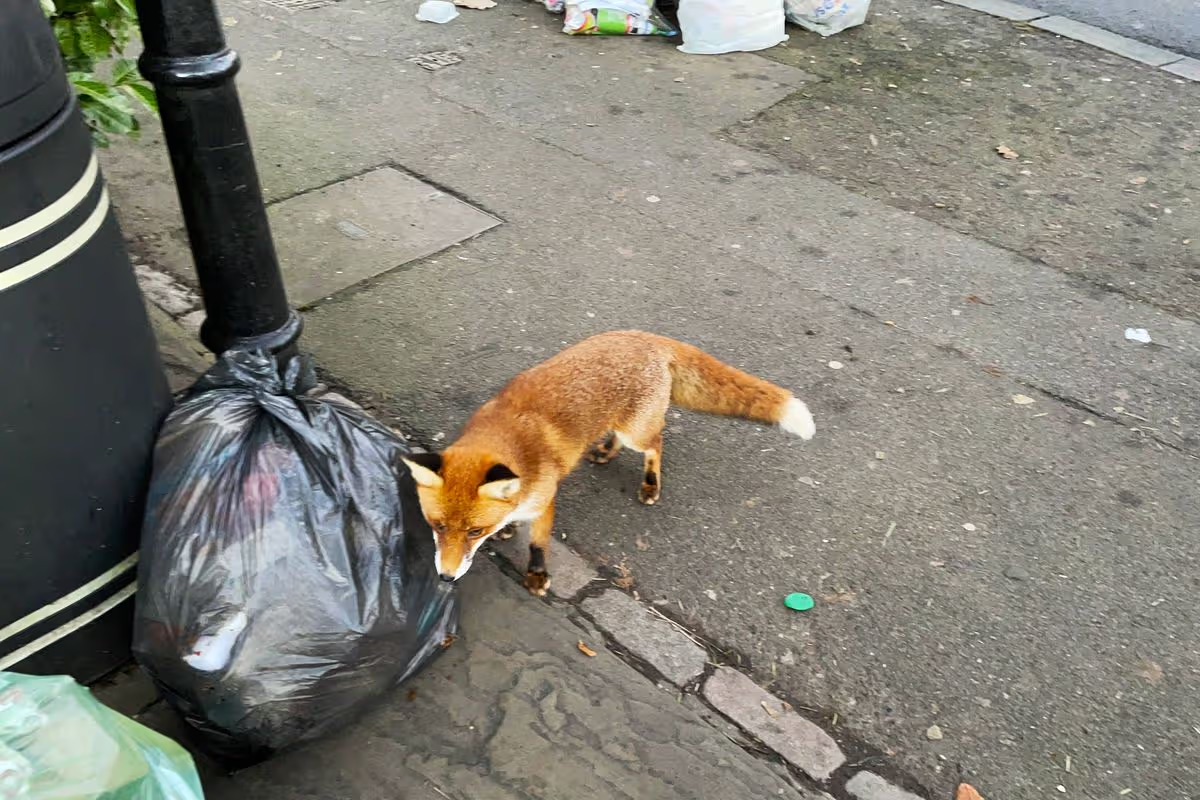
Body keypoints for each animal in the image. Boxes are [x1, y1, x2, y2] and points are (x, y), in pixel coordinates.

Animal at [401, 331, 815, 597]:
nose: (446, 578)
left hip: (638, 431)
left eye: (473, 532)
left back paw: (651, 483)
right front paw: (507, 530)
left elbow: (537, 544)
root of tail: (650, 336)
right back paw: (605, 451)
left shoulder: (546, 501)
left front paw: (537, 576)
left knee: (657, 442)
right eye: (438, 526)